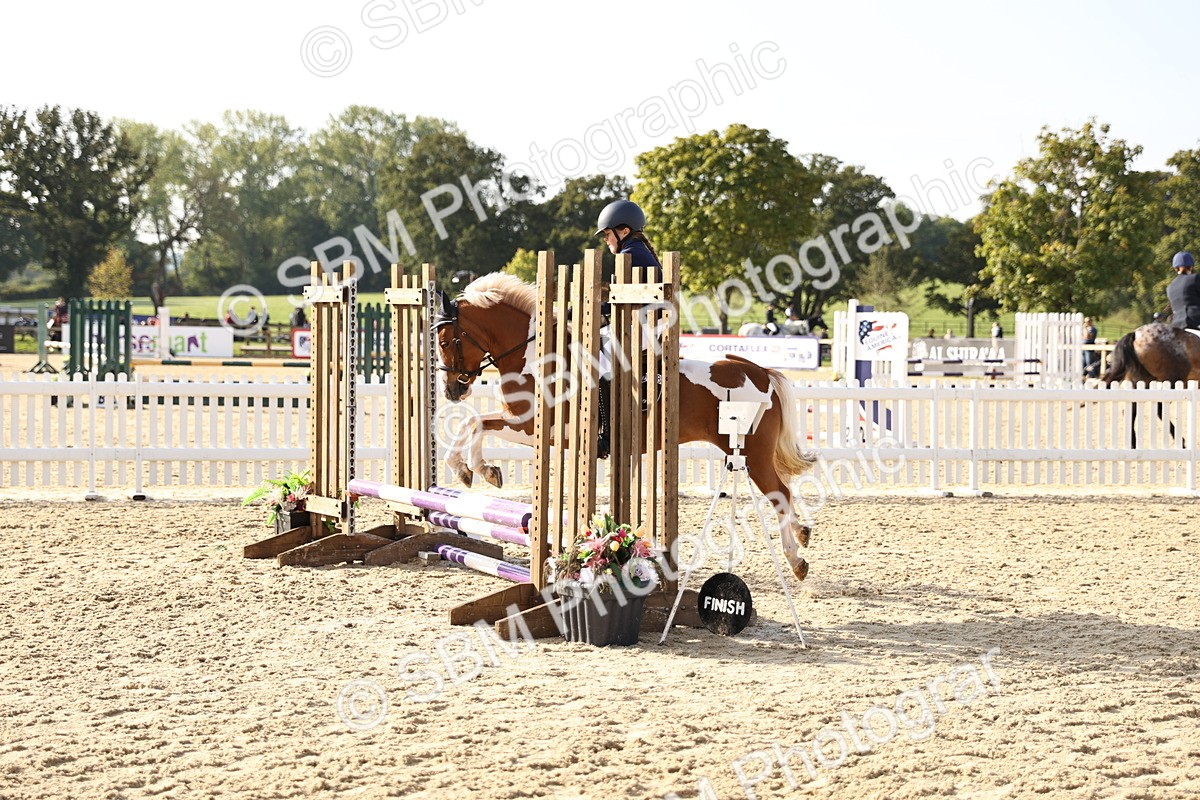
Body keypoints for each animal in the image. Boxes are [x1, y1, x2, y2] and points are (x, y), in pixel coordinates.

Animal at [432, 272, 817, 581]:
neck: (538, 358)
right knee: (783, 493)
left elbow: (475, 422)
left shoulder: (530, 425)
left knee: (780, 494)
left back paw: (795, 560)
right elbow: (474, 422)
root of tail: (760, 371)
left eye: (445, 341)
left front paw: (475, 469)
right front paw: (475, 470)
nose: (451, 390)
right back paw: (802, 534)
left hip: (751, 452)